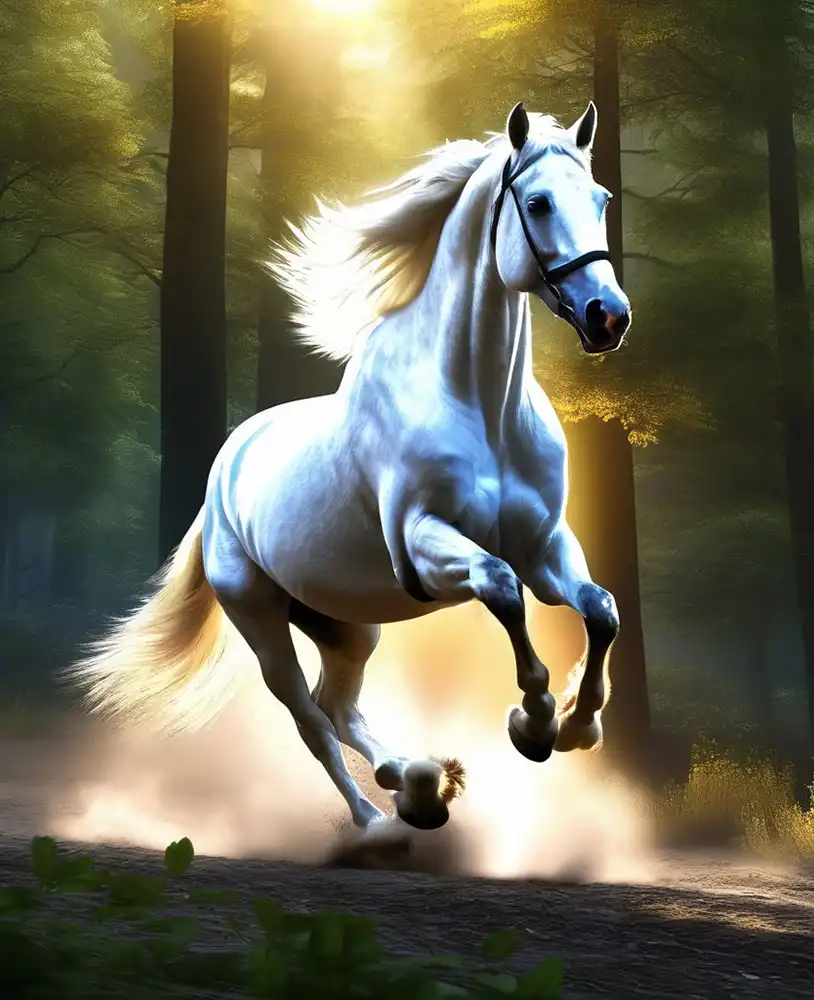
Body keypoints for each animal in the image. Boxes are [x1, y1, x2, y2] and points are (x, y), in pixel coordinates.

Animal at [66, 100, 632, 840]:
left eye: (600, 199)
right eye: (536, 203)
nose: (608, 317)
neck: (480, 406)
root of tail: (225, 472)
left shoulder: (544, 543)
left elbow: (600, 609)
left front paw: (579, 725)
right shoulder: (424, 546)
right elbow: (502, 588)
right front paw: (533, 723)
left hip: (346, 625)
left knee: (337, 704)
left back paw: (417, 784)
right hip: (260, 619)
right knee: (309, 718)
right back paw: (380, 819)